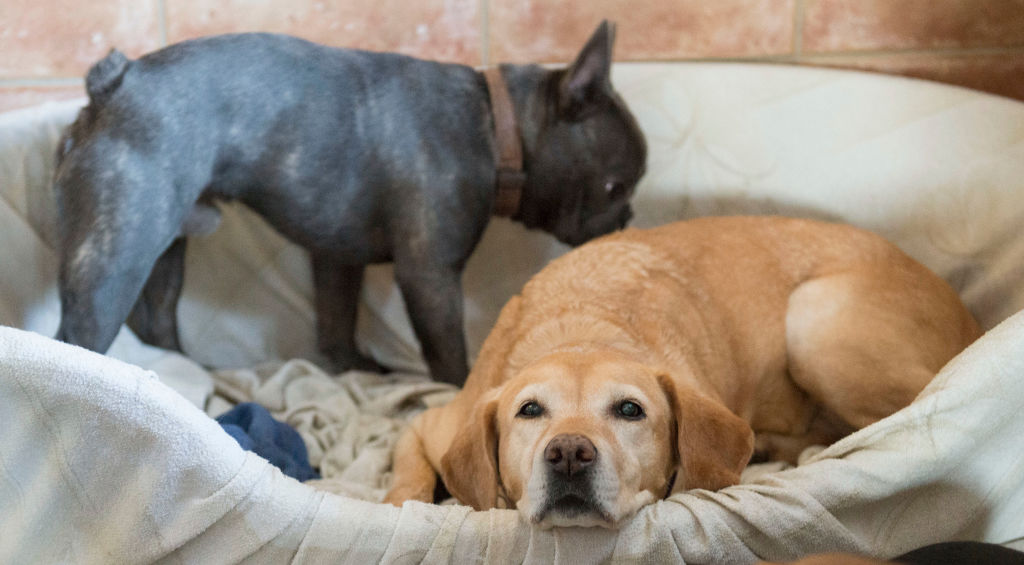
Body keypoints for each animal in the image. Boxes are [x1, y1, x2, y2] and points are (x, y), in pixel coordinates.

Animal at [382, 216, 974, 528]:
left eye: (630, 410)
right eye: (529, 410)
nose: (569, 453)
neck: (580, 327)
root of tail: (966, 314)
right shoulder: (429, 424)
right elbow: (407, 477)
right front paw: (394, 504)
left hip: (816, 321)